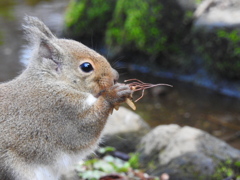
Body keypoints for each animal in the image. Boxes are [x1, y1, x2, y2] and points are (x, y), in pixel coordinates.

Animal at [0, 15, 132, 180]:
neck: (50, 82)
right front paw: (113, 95)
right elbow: (86, 127)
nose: (115, 77)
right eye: (86, 67)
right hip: (12, 169)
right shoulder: (62, 110)